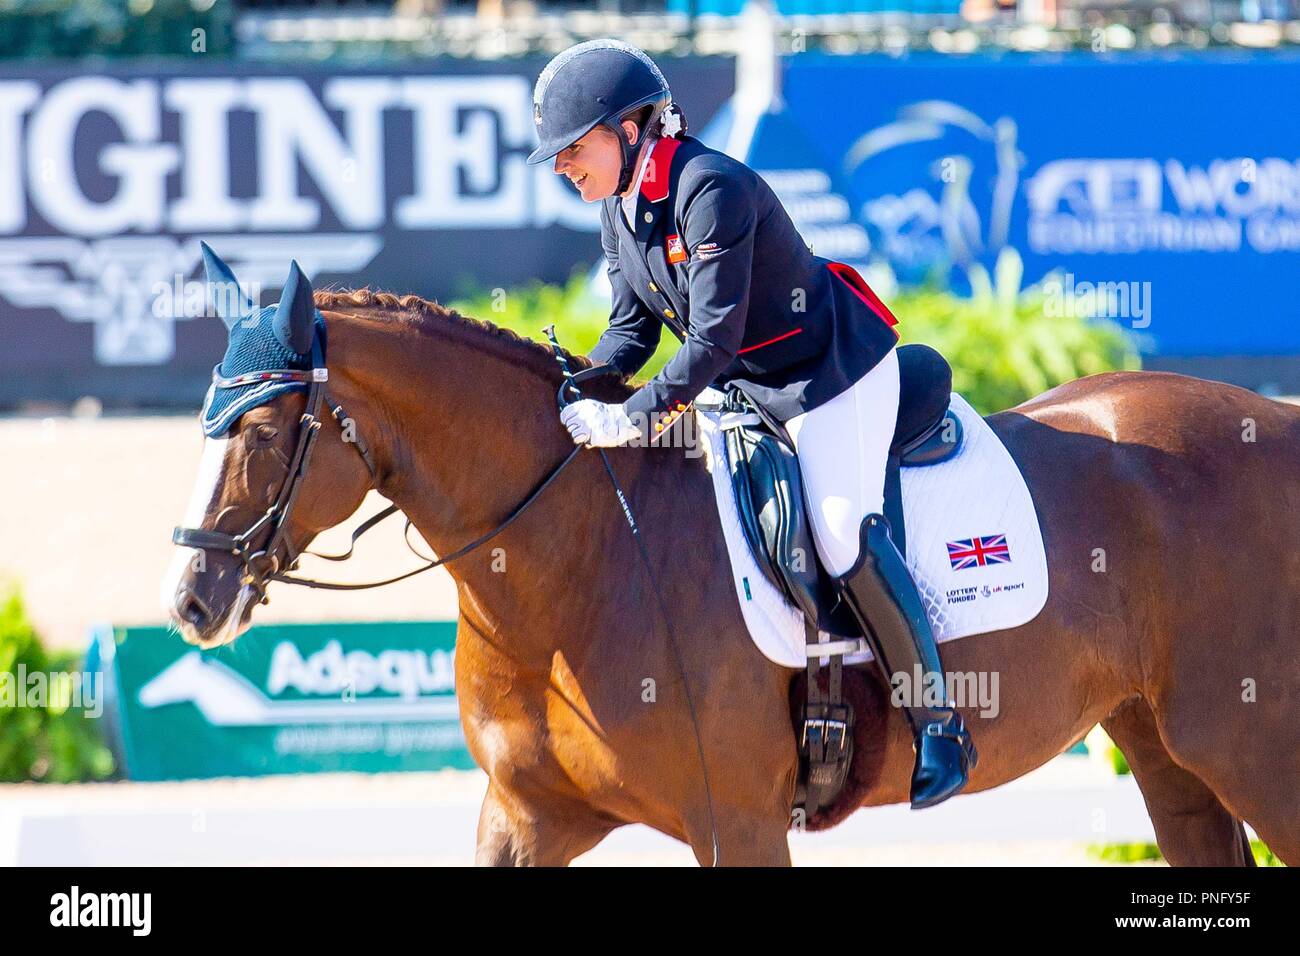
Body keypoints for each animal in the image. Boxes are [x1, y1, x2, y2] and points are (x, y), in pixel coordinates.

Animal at [167, 282, 1294, 868]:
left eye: (261, 430)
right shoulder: (524, 817)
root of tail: (1271, 422)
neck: (571, 561)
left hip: (1249, 744)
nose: (192, 601)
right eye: (205, 420)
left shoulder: (738, 825)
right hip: (1164, 749)